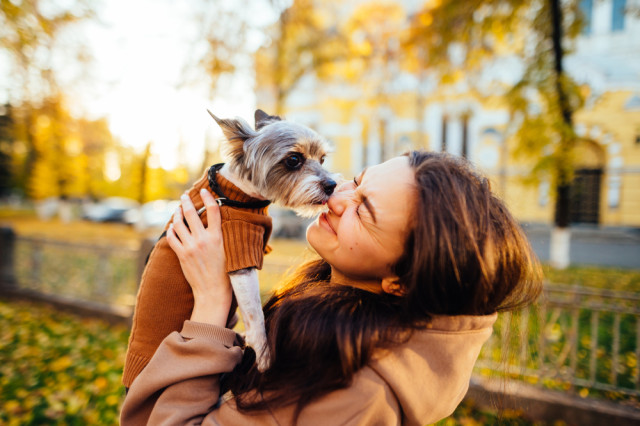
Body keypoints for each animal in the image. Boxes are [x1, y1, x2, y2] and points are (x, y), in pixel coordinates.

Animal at [204, 110, 336, 370]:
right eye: (294, 159)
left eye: (323, 159)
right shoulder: (240, 253)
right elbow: (254, 311)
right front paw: (263, 350)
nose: (332, 185)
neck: (237, 194)